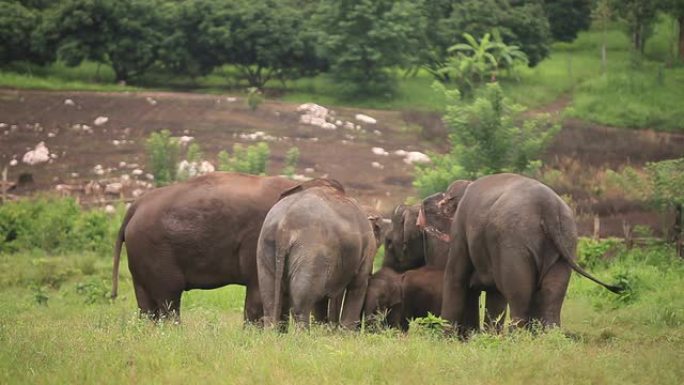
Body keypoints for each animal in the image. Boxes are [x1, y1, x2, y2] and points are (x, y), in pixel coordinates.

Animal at [110, 172, 296, 320]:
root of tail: (134, 207)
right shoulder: (256, 240)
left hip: (140, 254)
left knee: (146, 304)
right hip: (154, 250)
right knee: (168, 297)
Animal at [256, 178, 380, 328]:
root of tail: (283, 227)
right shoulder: (367, 249)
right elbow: (358, 284)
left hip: (266, 247)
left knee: (269, 300)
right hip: (310, 253)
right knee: (302, 304)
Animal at [440, 172, 624, 334]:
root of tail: (548, 205)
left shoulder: (460, 227)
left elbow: (455, 277)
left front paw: (446, 337)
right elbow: (494, 294)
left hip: (513, 244)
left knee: (518, 297)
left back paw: (516, 338)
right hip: (566, 240)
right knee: (552, 296)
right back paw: (548, 337)